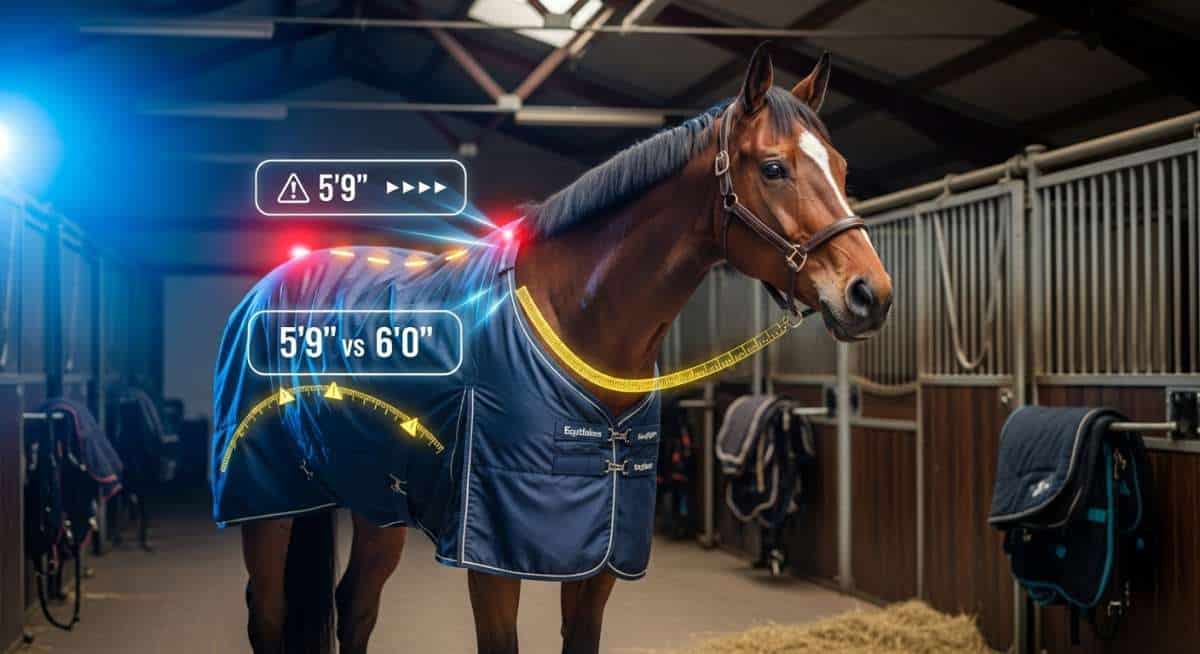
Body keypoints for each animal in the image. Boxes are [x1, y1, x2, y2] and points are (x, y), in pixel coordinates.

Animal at [211, 44, 891, 654]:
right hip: (263, 501)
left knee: (355, 606)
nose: (871, 294)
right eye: (774, 168)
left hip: (378, 502)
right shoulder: (493, 556)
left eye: (841, 167)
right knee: (266, 615)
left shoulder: (601, 558)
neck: (577, 322)